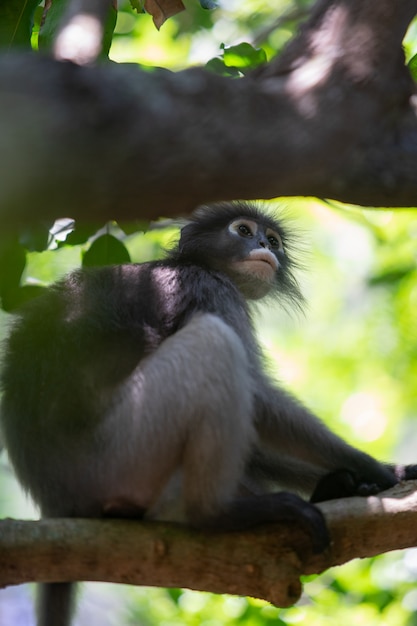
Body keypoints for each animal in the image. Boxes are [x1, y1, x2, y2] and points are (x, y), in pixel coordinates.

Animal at [0, 201, 416, 624]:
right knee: (213, 340)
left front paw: (388, 474)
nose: (264, 245)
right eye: (244, 231)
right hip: (120, 455)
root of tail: (56, 500)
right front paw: (373, 470)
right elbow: (258, 398)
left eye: (273, 240)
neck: (195, 264)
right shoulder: (209, 289)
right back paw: (221, 513)